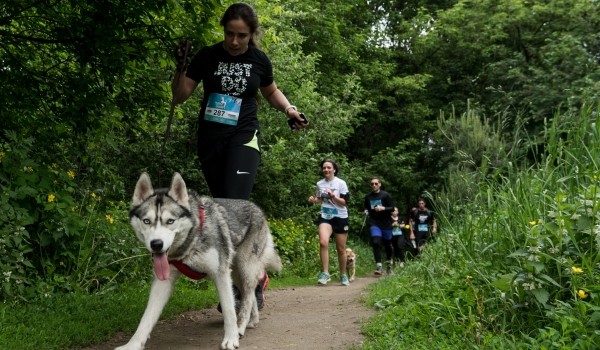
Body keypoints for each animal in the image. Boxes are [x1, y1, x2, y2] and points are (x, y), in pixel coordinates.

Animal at [116, 173, 282, 350]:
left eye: (170, 221)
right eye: (146, 221)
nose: (156, 244)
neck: (192, 239)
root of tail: (256, 208)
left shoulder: (220, 274)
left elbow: (229, 311)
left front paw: (231, 338)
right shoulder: (163, 281)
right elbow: (147, 317)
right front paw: (132, 344)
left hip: (245, 268)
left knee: (248, 296)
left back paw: (241, 326)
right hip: (236, 272)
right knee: (248, 295)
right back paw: (252, 320)